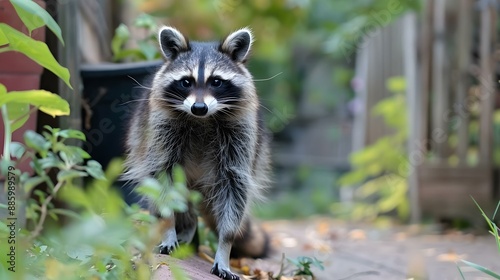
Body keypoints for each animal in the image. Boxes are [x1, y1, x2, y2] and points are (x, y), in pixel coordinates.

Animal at [124, 26, 272, 280]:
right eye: (186, 82)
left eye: (216, 81)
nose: (199, 107)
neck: (203, 119)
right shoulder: (161, 127)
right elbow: (163, 177)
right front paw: (169, 227)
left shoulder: (240, 136)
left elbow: (235, 187)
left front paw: (224, 247)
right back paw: (184, 226)